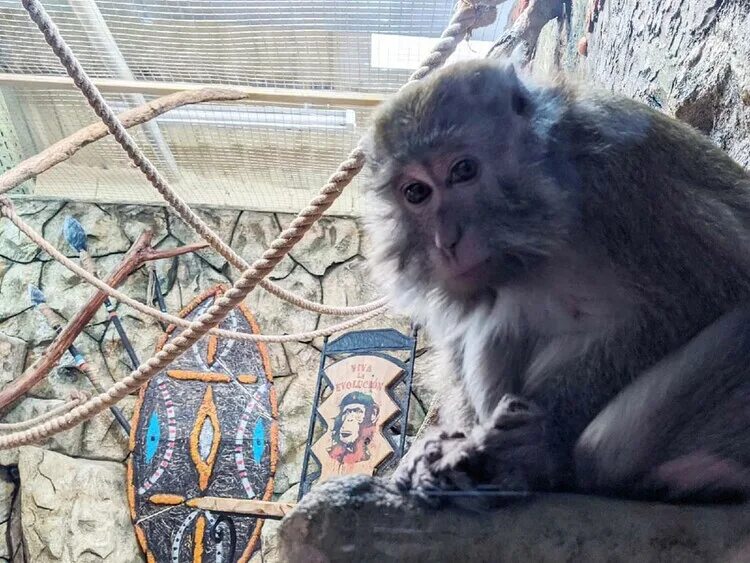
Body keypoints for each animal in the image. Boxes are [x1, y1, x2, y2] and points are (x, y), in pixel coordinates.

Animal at [358, 58, 750, 506]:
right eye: (416, 192)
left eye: (463, 170)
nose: (447, 242)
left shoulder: (623, 177)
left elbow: (706, 295)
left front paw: (545, 433)